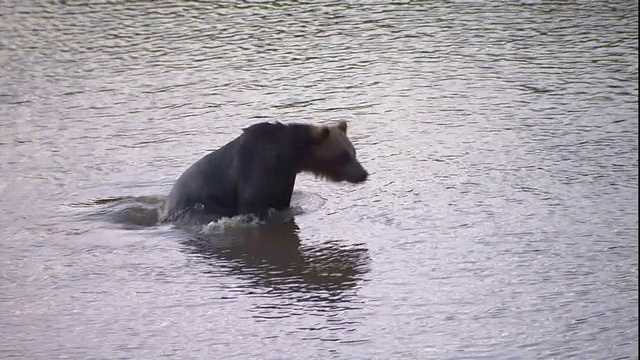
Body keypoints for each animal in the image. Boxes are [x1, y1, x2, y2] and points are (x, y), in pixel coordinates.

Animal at [162, 121, 368, 222]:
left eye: (353, 151)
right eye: (343, 155)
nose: (363, 173)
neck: (289, 156)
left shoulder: (283, 179)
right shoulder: (257, 169)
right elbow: (252, 204)